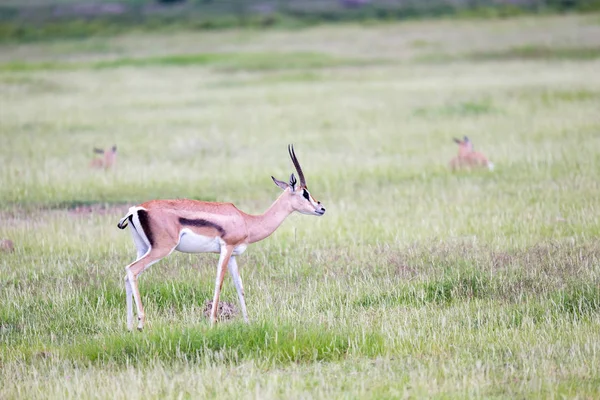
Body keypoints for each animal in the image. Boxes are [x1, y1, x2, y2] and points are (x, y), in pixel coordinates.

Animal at [115, 145, 326, 330]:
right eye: (305, 193)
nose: (321, 208)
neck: (246, 221)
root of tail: (136, 209)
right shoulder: (226, 248)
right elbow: (219, 281)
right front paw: (213, 322)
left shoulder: (233, 255)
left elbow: (239, 285)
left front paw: (248, 322)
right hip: (161, 249)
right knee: (132, 270)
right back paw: (141, 324)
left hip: (143, 248)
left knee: (127, 274)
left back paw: (129, 326)